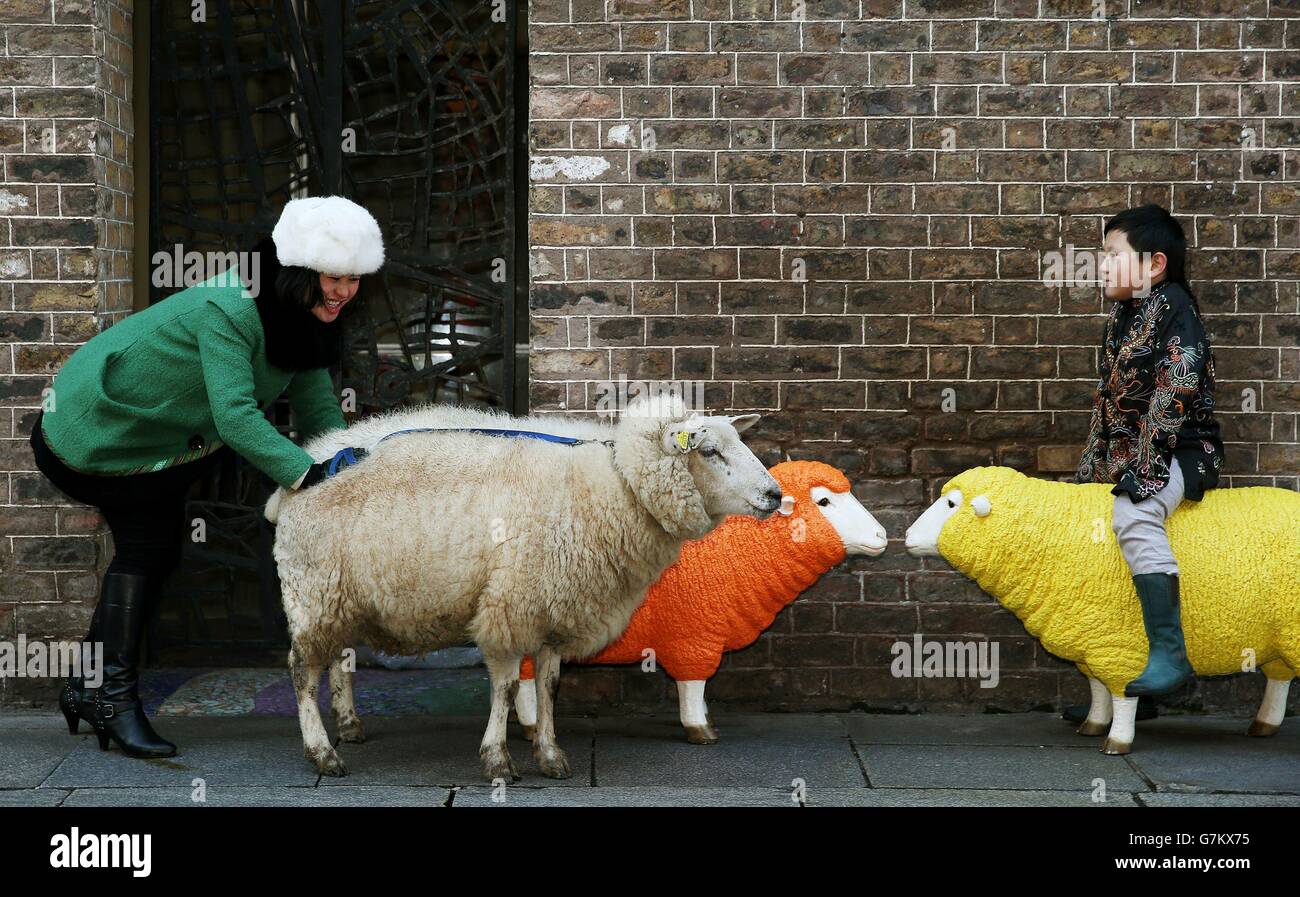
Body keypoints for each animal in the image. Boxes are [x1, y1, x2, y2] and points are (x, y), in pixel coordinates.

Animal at [258, 395, 774, 780]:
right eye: (709, 451)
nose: (775, 495)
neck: (614, 484)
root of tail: (305, 471)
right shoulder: (512, 604)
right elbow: (506, 689)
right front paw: (498, 760)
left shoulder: (553, 605)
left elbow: (549, 685)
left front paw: (549, 754)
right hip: (314, 588)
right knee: (303, 670)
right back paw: (323, 752)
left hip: (342, 594)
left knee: (338, 661)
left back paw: (349, 725)